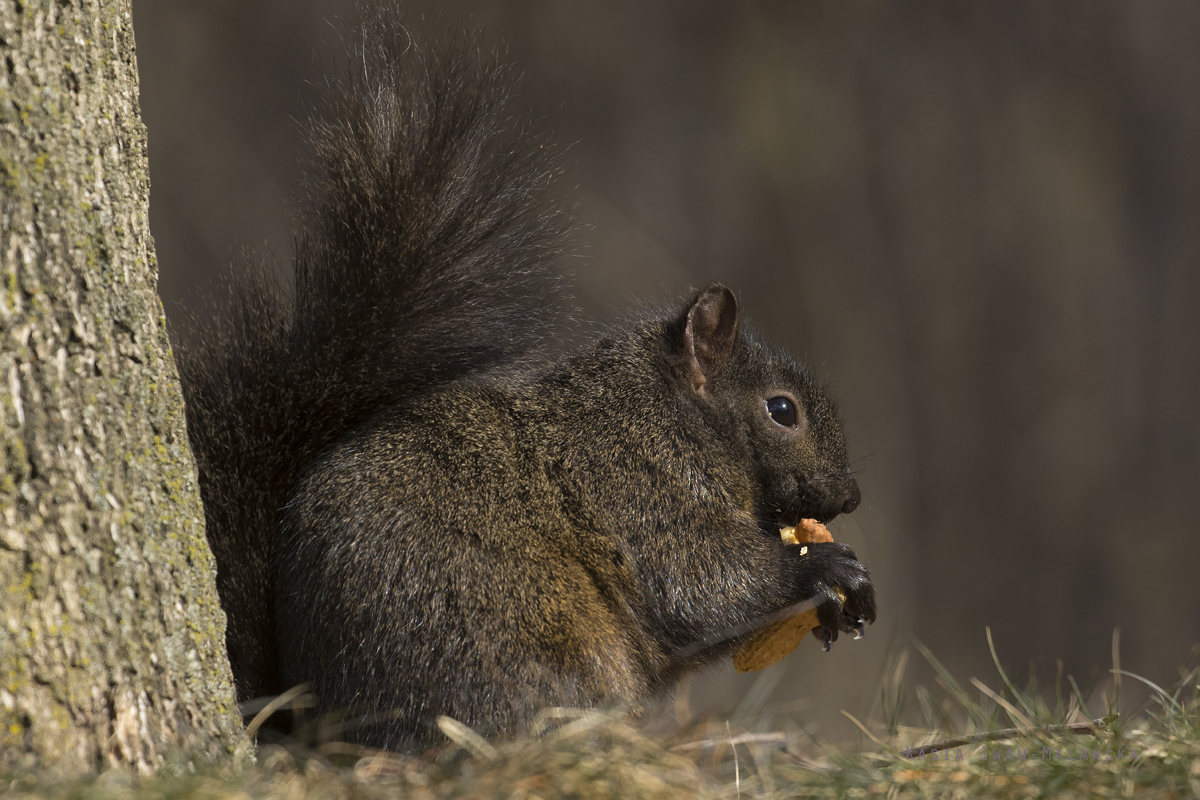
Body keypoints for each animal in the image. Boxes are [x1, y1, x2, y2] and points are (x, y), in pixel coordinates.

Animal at [175, 9, 873, 753]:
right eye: (782, 410)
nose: (851, 495)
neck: (665, 414)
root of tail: (315, 725)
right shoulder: (637, 490)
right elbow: (702, 584)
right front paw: (823, 569)